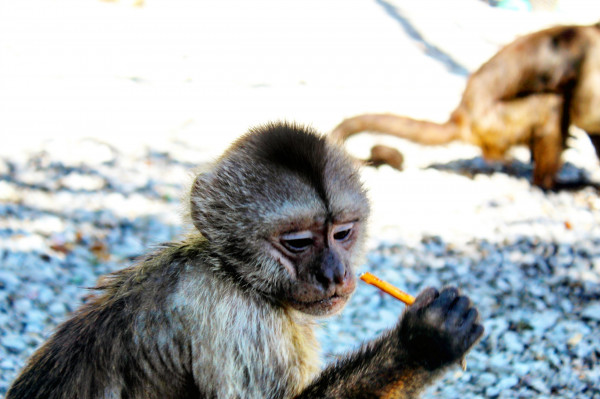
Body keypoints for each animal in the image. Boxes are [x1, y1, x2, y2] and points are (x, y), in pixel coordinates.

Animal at [5, 122, 482, 399]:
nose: (335, 274)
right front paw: (423, 344)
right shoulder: (237, 320)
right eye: (298, 242)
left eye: (343, 234)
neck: (234, 273)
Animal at [330, 23, 600, 191]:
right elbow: (587, 115)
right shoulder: (592, 54)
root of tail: (463, 115)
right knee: (552, 102)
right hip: (497, 124)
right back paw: (550, 183)